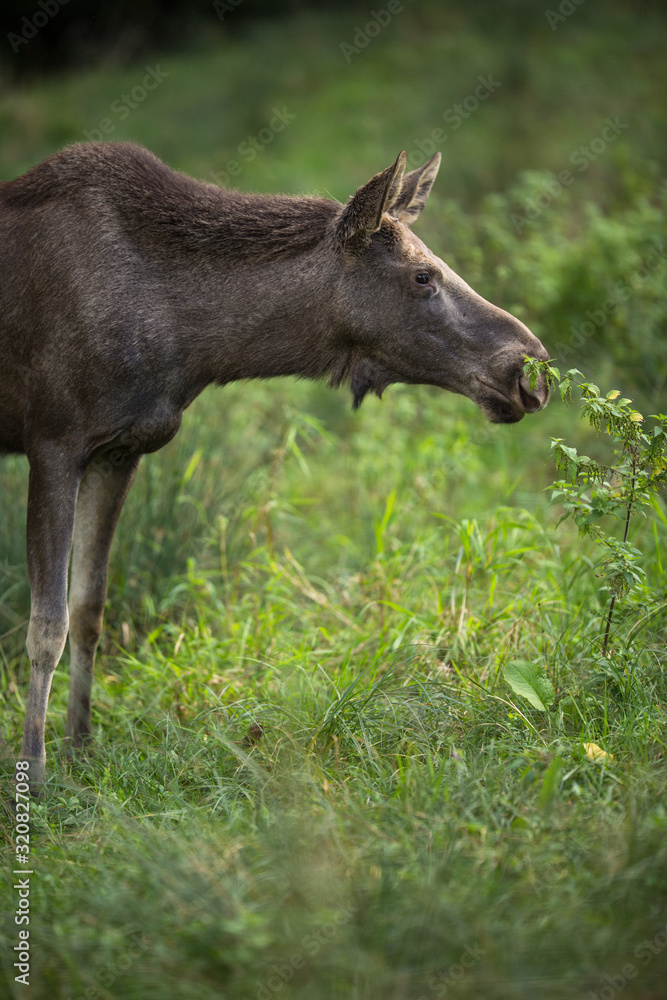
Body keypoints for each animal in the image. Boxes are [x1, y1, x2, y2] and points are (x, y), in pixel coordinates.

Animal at [0, 142, 549, 791]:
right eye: (422, 275)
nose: (531, 367)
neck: (194, 349)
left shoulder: (119, 450)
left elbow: (89, 609)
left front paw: (81, 748)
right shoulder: (53, 441)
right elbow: (45, 627)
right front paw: (34, 768)